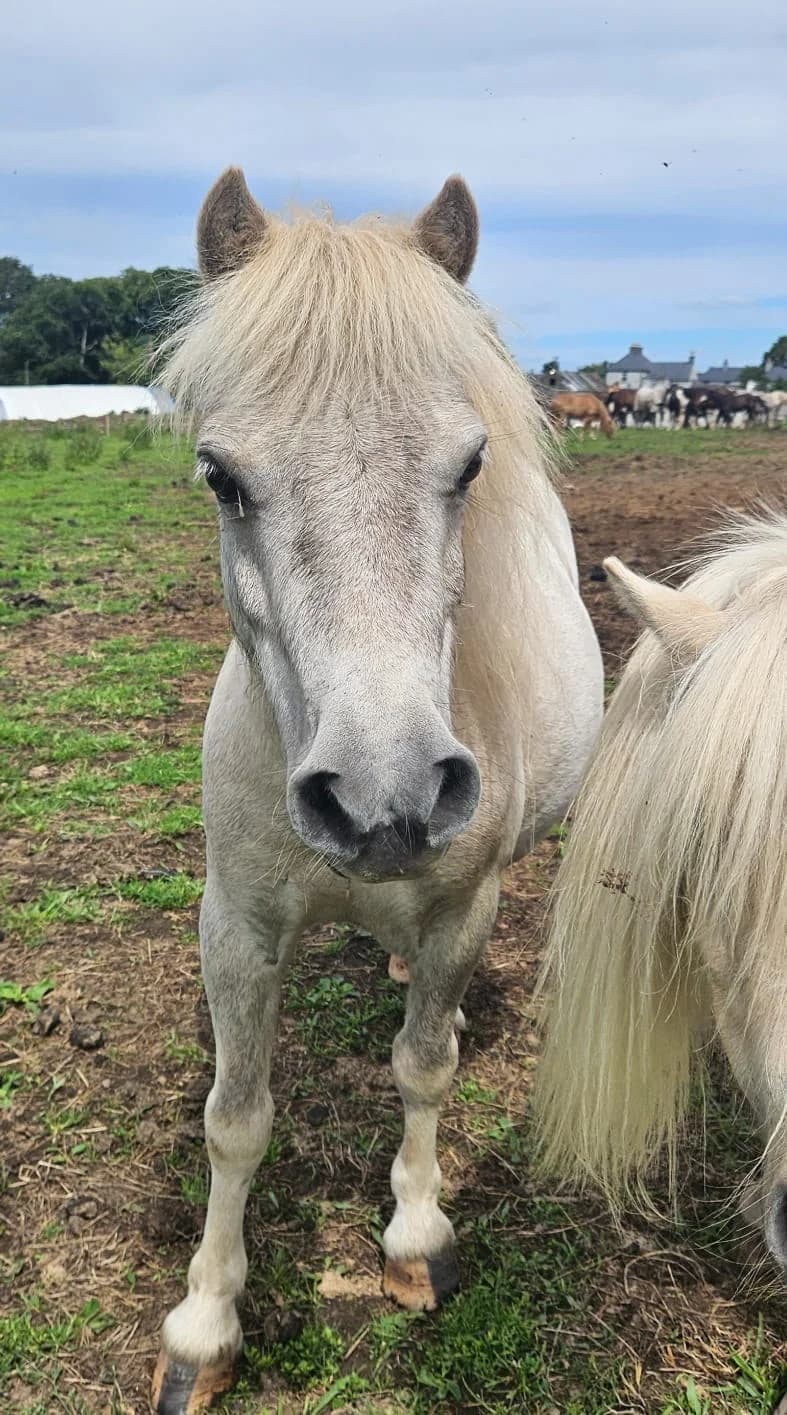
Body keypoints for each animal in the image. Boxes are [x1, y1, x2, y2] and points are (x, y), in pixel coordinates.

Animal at [152, 167, 604, 1413]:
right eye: (220, 475)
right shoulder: (235, 926)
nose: (385, 796)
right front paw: (204, 1322)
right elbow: (235, 1119)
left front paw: (413, 1235)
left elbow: (423, 1064)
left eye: (468, 465)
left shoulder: (463, 906)